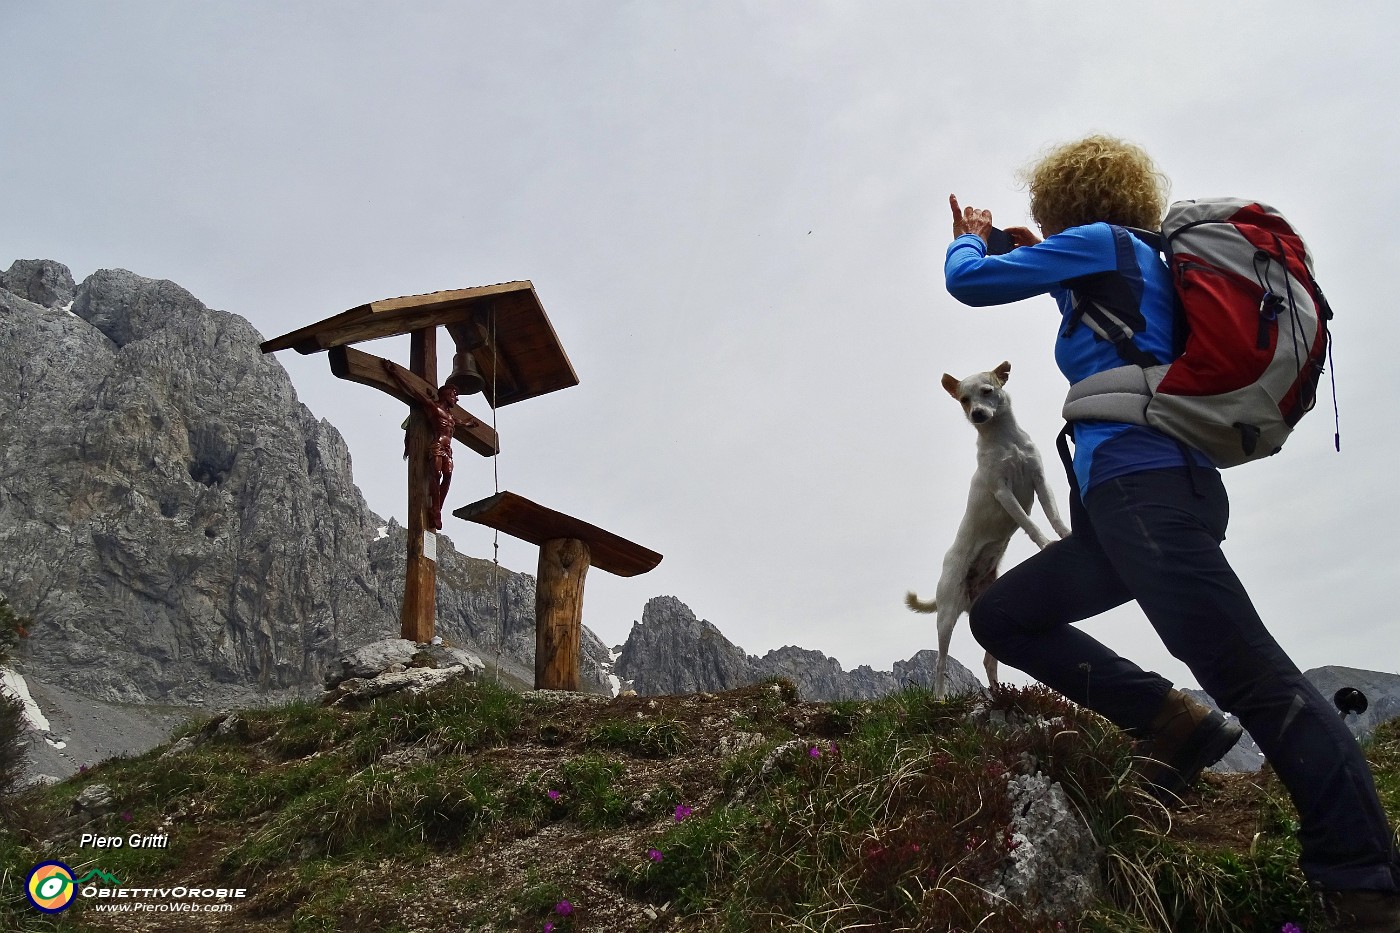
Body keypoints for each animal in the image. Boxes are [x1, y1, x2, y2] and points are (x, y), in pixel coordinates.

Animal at [907, 358, 1069, 694]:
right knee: (940, 664)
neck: (1005, 440)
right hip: (947, 617)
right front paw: (1046, 543)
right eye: (963, 400)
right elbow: (1029, 523)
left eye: (987, 390)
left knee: (988, 661)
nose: (977, 414)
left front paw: (1064, 534)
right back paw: (940, 697)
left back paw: (999, 695)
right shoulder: (1003, 492)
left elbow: (1052, 515)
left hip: (982, 621)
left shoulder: (1039, 481)